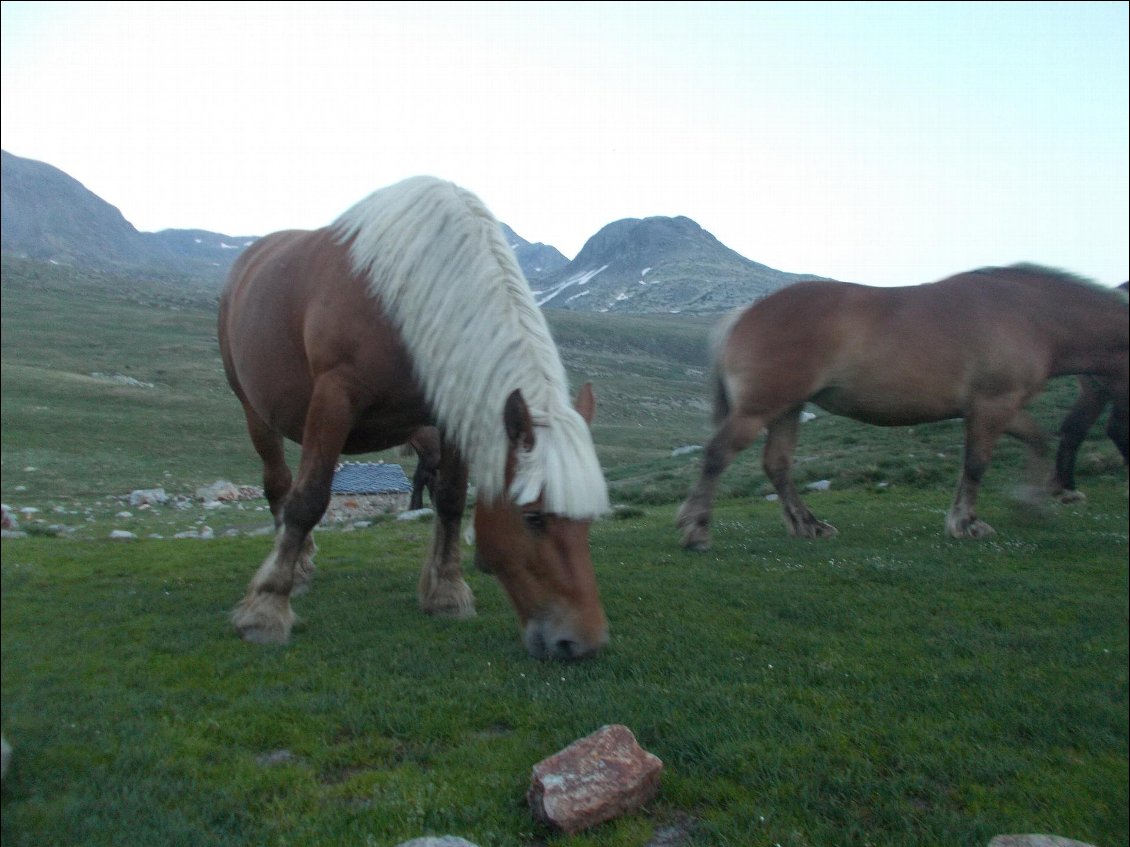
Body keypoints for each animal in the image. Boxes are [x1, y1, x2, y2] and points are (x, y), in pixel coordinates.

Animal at [218, 173, 610, 664]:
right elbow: (309, 499)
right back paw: (298, 570)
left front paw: (446, 594)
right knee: (279, 484)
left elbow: (451, 499)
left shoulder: (450, 413)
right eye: (534, 518)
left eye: (588, 520)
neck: (403, 301)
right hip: (255, 411)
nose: (584, 642)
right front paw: (266, 610)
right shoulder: (333, 398)